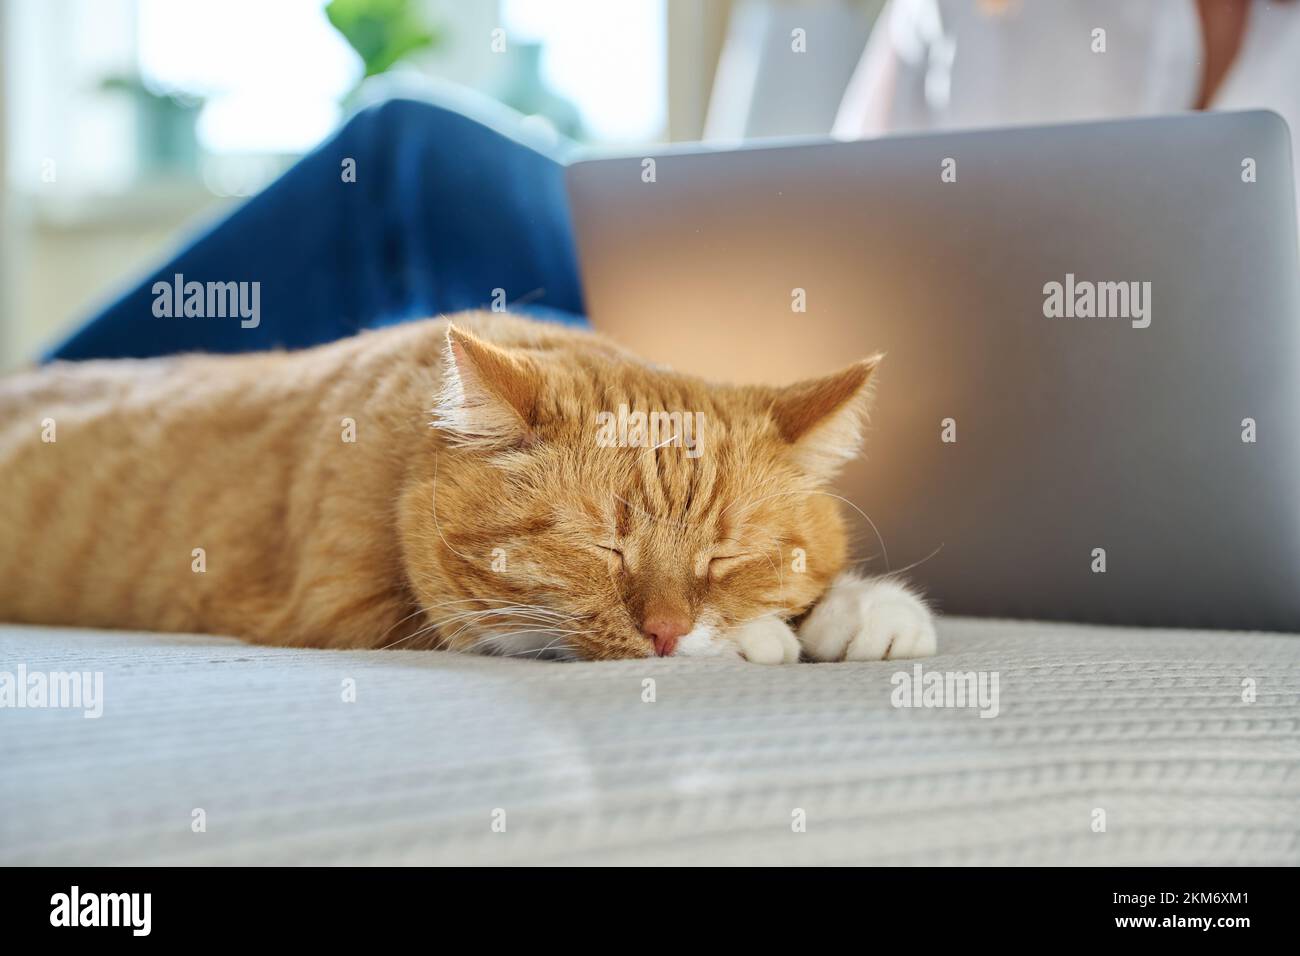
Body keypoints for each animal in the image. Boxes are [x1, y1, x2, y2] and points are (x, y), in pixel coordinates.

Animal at [0, 314, 935, 665]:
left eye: (728, 557)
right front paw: (756, 639)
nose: (668, 633)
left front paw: (860, 610)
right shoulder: (358, 617)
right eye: (602, 547)